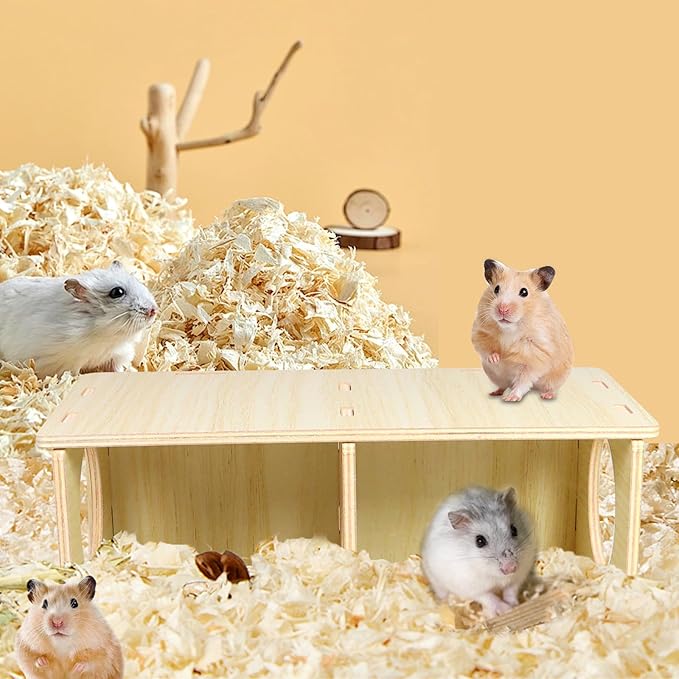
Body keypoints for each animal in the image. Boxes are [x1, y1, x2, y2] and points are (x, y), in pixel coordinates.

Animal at [0, 261, 157, 378]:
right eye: (117, 292)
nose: (153, 310)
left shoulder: (118, 354)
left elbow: (117, 369)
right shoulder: (64, 363)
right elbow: (73, 375)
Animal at [421, 486, 536, 618]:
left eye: (514, 530)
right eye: (479, 541)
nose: (511, 567)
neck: (495, 576)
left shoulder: (519, 575)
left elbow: (511, 590)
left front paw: (514, 605)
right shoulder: (470, 587)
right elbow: (489, 598)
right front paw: (505, 609)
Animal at [471, 259, 574, 402]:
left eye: (524, 292)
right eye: (496, 289)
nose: (502, 309)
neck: (510, 328)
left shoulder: (537, 354)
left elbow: (523, 380)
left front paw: (511, 398)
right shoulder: (480, 331)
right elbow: (485, 348)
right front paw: (496, 358)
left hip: (556, 378)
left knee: (549, 388)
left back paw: (546, 395)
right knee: (503, 386)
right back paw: (495, 393)